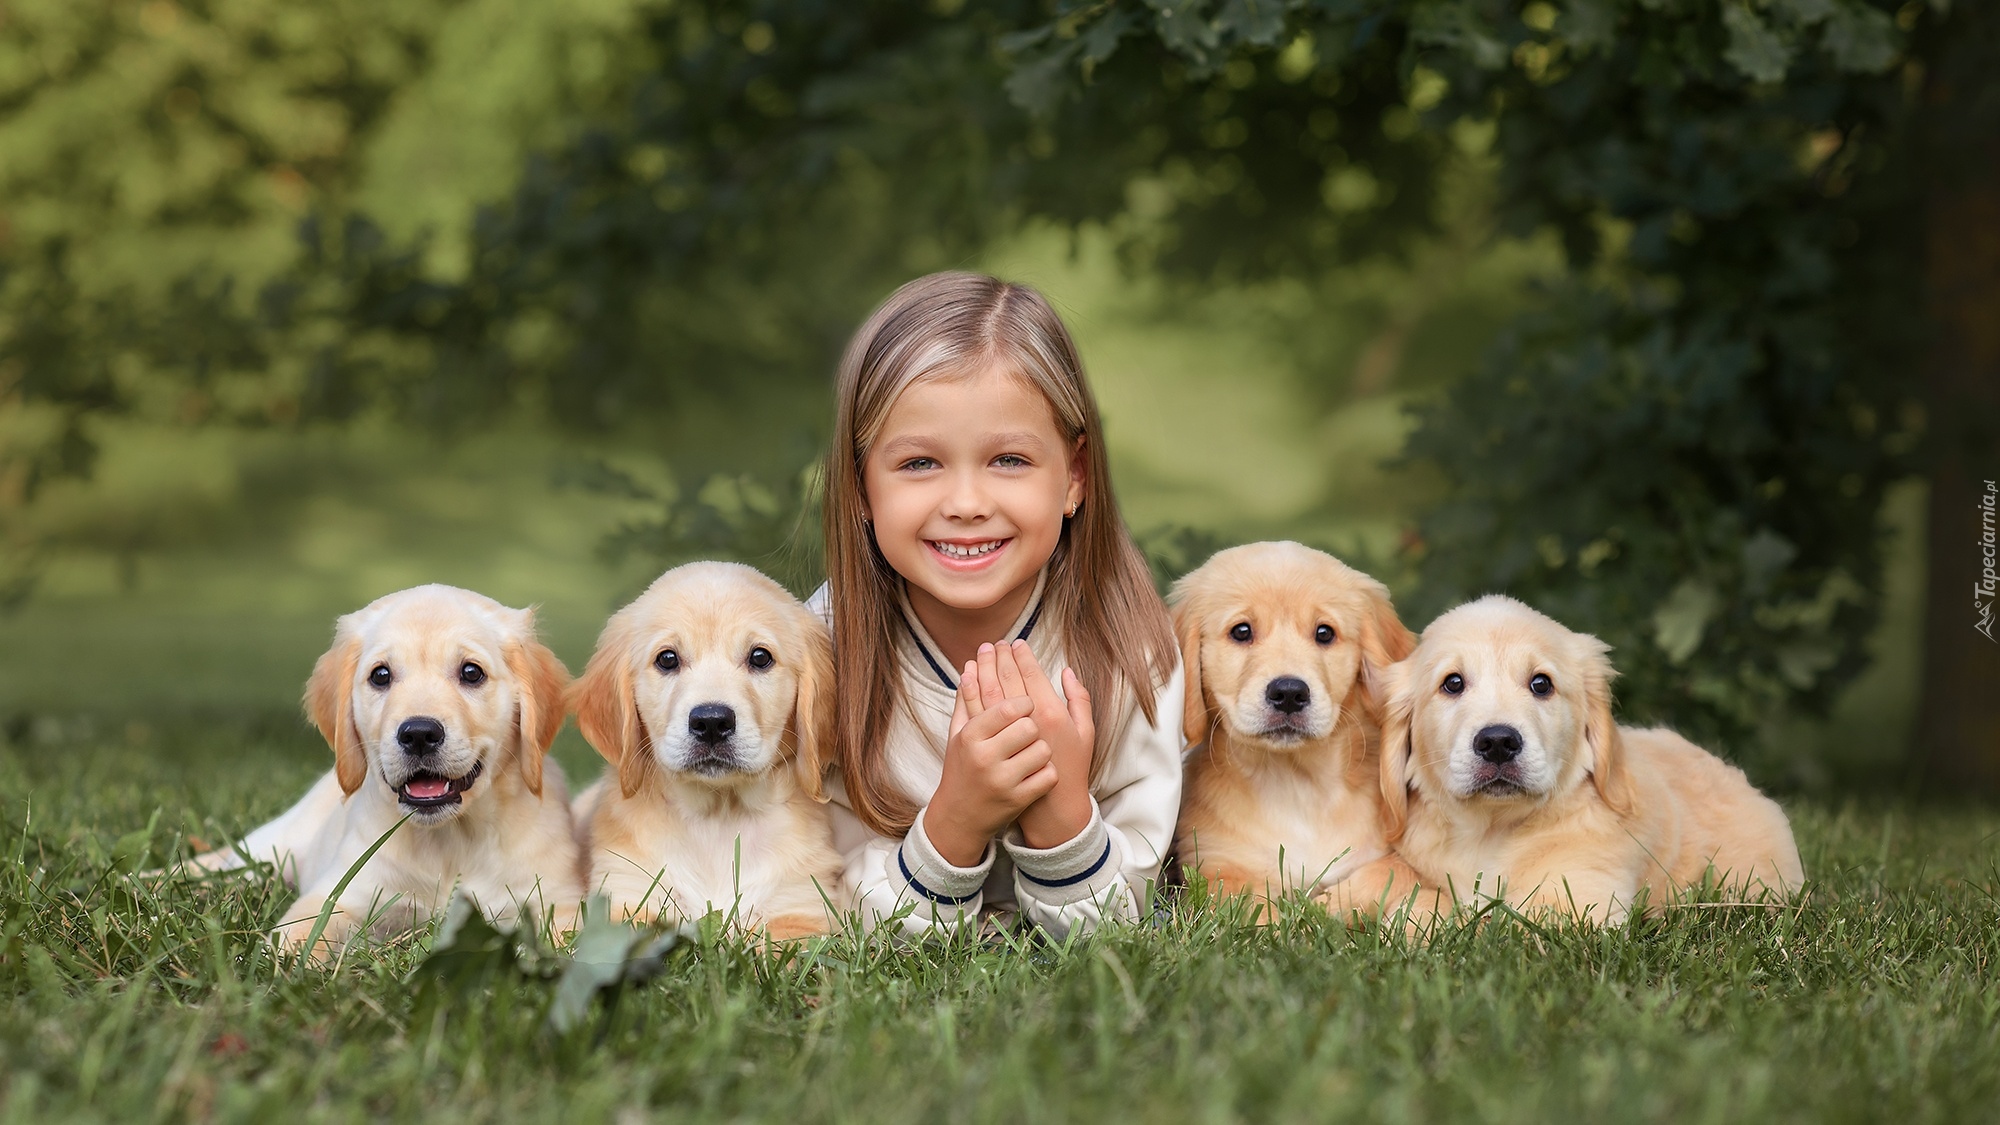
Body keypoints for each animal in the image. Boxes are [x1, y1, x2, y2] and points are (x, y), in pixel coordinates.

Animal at [178, 580, 584, 948]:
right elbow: (298, 941)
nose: (419, 734)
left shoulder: (557, 902)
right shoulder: (340, 894)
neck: (449, 842)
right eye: (381, 675)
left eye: (471, 672)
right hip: (276, 846)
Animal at [568, 560, 840, 936]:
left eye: (760, 657)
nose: (711, 722)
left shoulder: (804, 906)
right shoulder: (625, 898)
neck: (718, 818)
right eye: (667, 659)